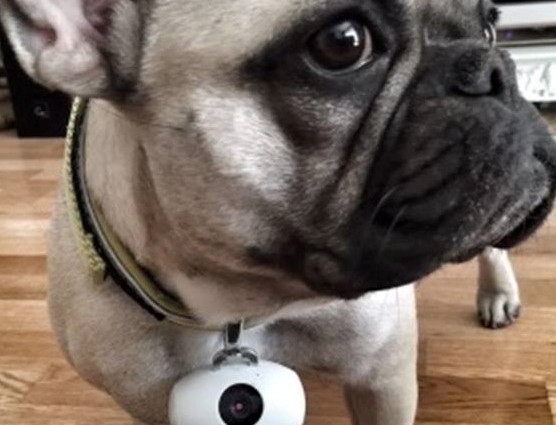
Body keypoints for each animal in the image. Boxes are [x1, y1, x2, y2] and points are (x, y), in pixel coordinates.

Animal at [1, 0, 555, 424]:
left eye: (490, 23)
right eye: (342, 43)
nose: (494, 65)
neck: (239, 304)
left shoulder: (384, 381)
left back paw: (498, 294)